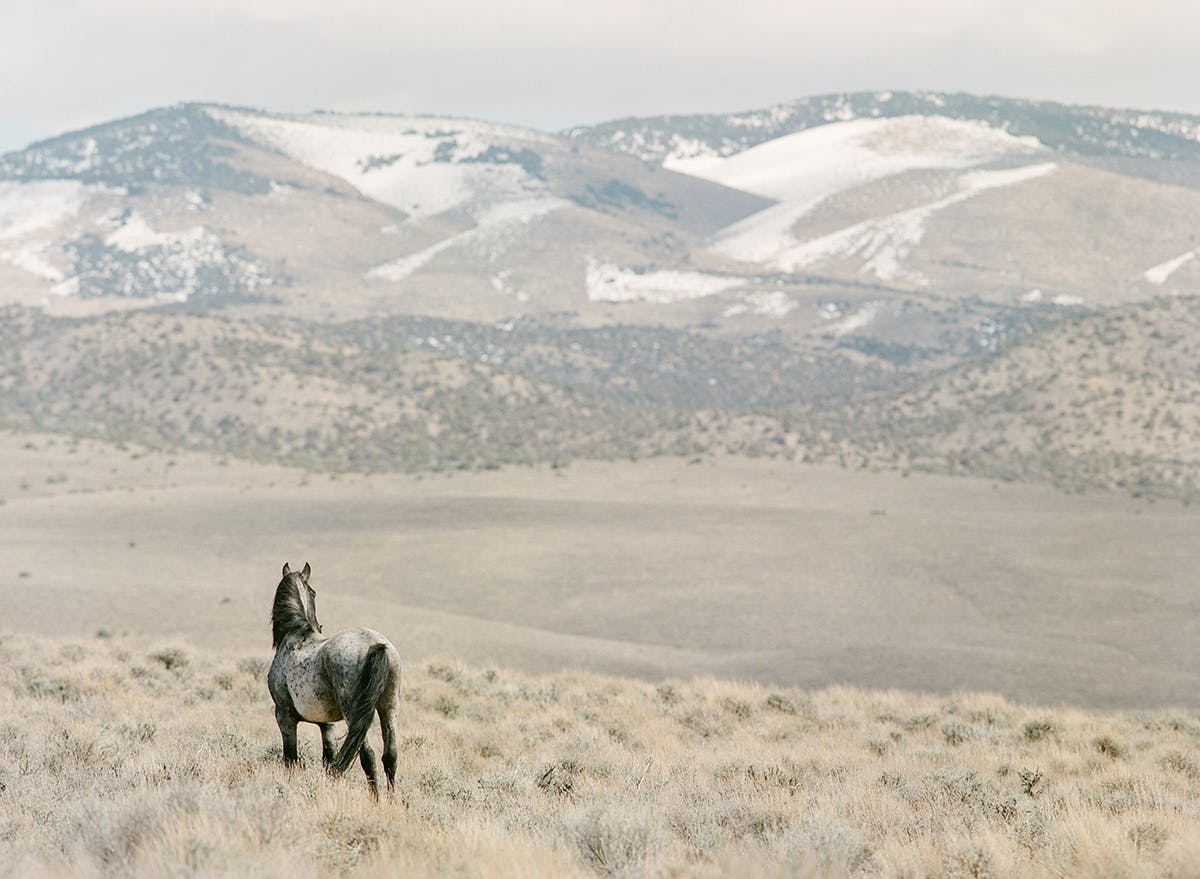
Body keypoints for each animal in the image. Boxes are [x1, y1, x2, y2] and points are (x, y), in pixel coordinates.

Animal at [267, 561, 403, 797]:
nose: (321, 625)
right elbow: (328, 759)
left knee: (368, 756)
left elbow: (290, 759)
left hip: (354, 713)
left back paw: (375, 799)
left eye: (313, 592)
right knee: (390, 756)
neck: (296, 636)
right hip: (389, 707)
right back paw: (393, 800)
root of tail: (375, 643)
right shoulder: (327, 725)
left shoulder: (284, 716)